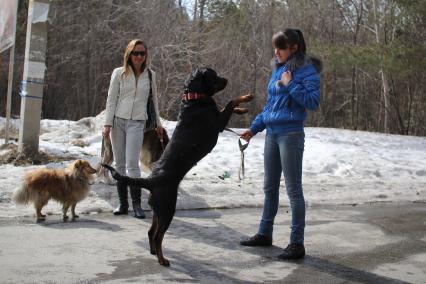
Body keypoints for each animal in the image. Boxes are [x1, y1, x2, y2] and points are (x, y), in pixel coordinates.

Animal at [103, 67, 253, 266]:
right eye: (213, 75)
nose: (226, 80)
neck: (194, 98)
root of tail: (151, 181)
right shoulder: (218, 123)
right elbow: (230, 102)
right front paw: (247, 97)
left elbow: (228, 105)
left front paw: (243, 108)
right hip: (168, 209)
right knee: (158, 236)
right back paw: (162, 259)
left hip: (158, 210)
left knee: (151, 232)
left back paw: (153, 253)